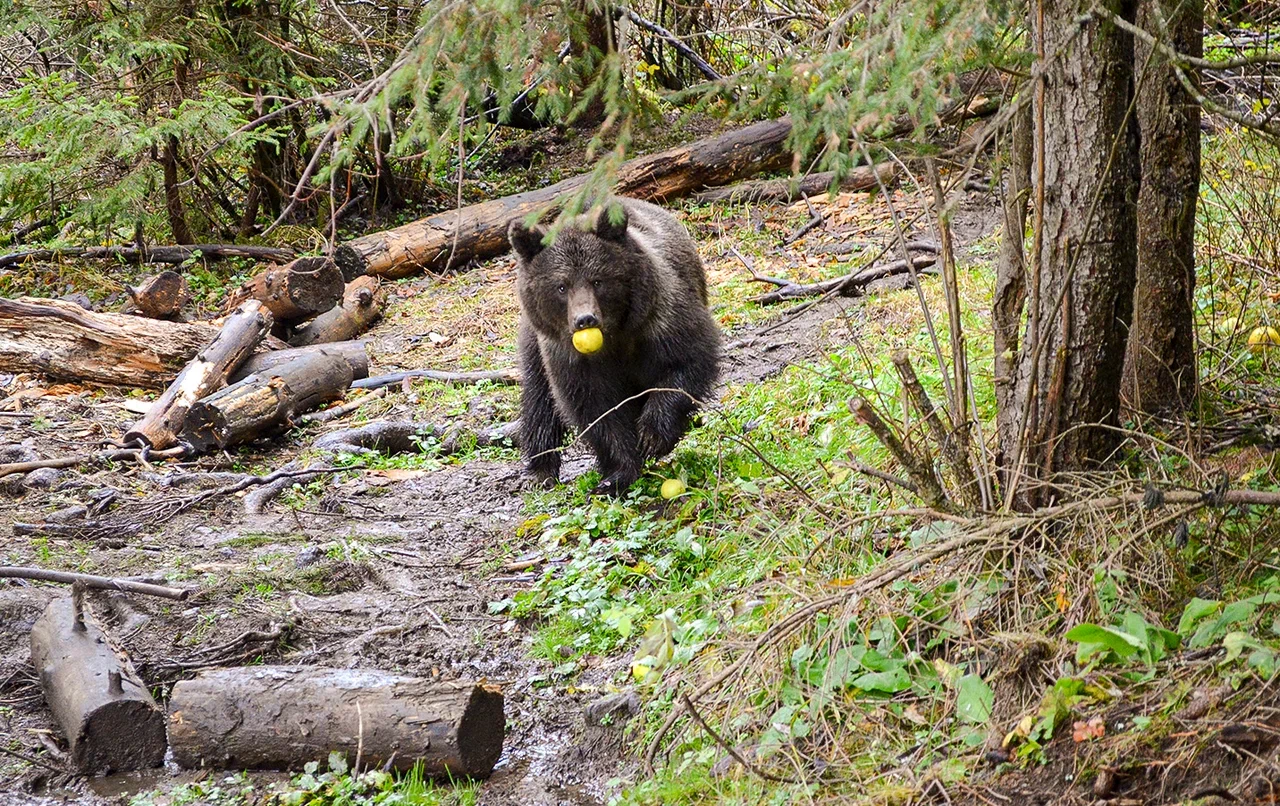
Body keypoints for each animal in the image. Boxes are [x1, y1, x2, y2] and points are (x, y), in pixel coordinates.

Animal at [509, 199, 721, 496]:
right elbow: (597, 408)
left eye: (598, 280)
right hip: (534, 343)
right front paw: (616, 475)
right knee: (538, 398)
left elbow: (685, 362)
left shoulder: (658, 318)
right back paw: (540, 470)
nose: (585, 319)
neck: (613, 338)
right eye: (561, 286)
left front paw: (652, 435)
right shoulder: (569, 358)